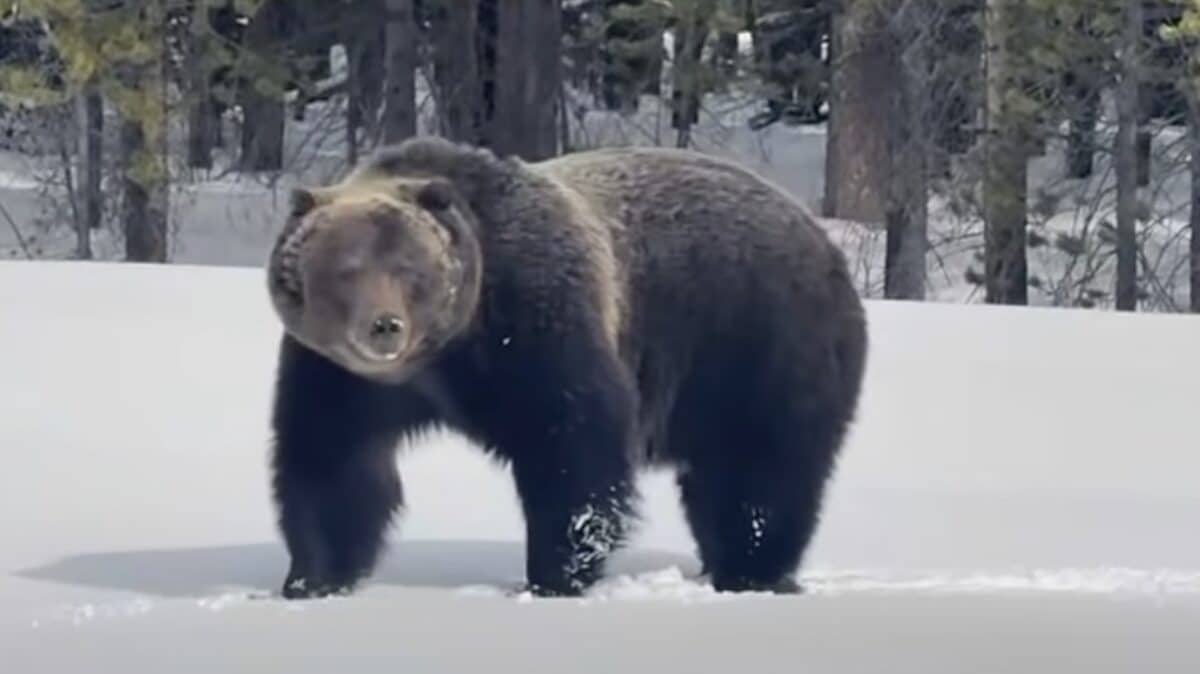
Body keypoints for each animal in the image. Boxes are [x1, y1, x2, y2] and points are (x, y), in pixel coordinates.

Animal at [265, 135, 868, 600]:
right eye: (347, 269)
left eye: (411, 269)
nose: (384, 326)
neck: (443, 354)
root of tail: (820, 235)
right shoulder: (337, 375)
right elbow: (330, 461)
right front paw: (310, 578)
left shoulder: (536, 325)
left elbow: (573, 447)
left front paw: (554, 575)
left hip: (762, 343)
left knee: (762, 473)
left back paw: (752, 571)